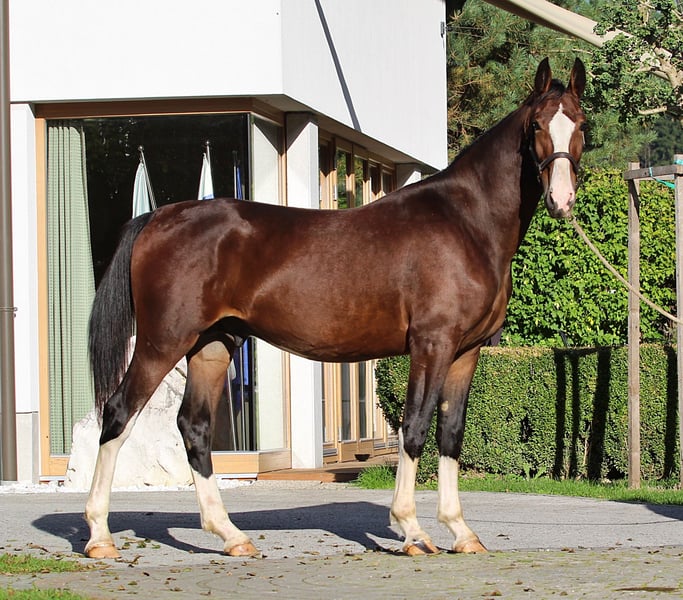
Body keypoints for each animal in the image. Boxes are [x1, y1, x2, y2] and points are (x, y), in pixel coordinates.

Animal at [84, 57, 586, 559]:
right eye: (537, 124)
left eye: (580, 124)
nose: (561, 200)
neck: (465, 222)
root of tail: (159, 217)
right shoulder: (432, 344)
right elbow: (416, 426)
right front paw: (413, 530)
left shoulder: (466, 351)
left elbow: (451, 432)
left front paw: (461, 532)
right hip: (162, 342)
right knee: (119, 413)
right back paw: (100, 537)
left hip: (213, 344)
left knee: (194, 427)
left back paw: (230, 535)